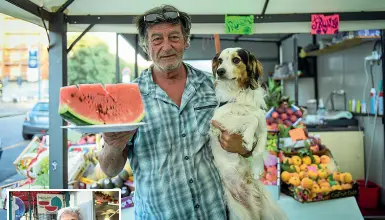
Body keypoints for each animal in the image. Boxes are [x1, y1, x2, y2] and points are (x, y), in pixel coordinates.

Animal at [208, 47, 286, 220]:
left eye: (236, 60)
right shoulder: (218, 120)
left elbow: (260, 146)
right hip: (239, 212)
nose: (220, 71)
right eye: (220, 61)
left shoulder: (263, 126)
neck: (240, 93)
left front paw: (257, 168)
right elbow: (251, 118)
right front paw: (248, 139)